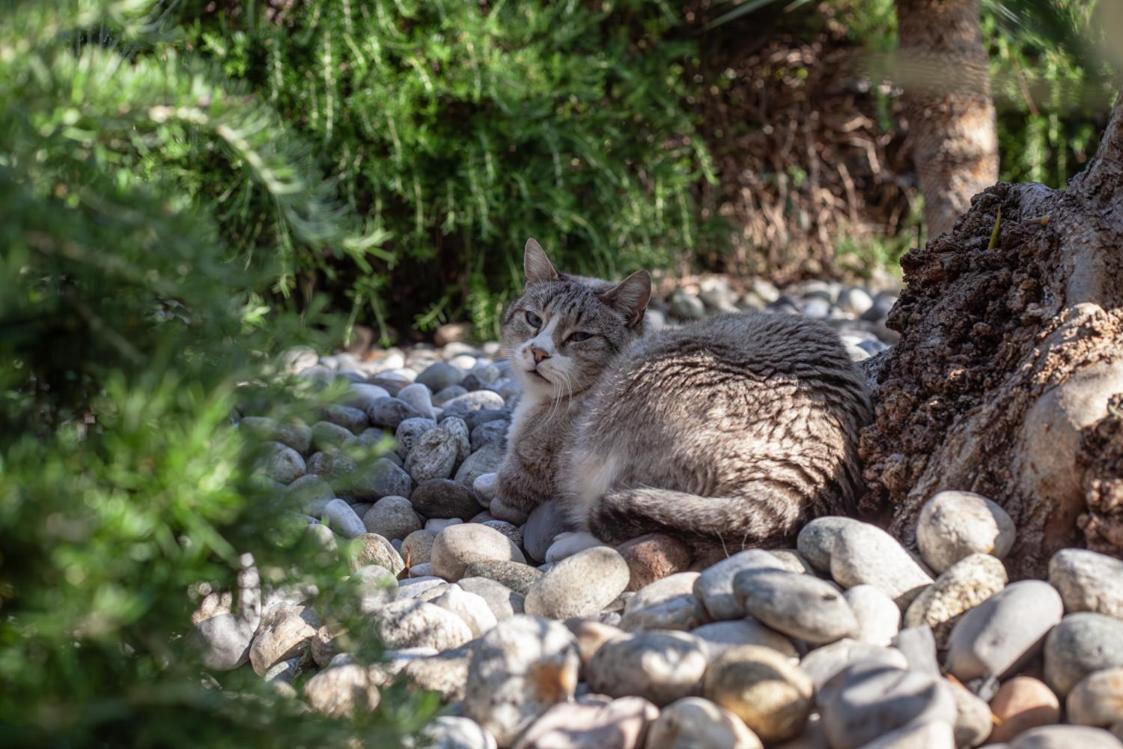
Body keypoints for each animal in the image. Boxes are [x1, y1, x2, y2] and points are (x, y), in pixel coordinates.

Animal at [496, 236, 871, 559]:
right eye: (533, 319)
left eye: (580, 336)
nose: (538, 352)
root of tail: (810, 463)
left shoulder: (527, 470)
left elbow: (502, 487)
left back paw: (572, 542)